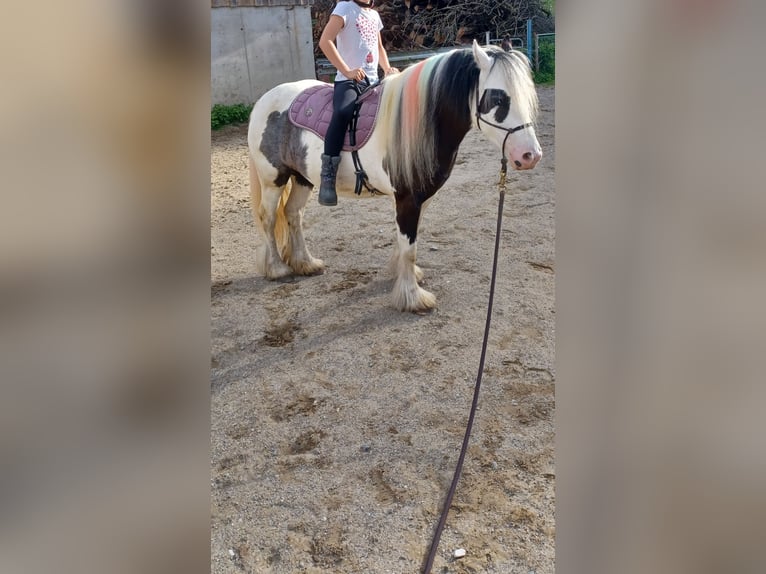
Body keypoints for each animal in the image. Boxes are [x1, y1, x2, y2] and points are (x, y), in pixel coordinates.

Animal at [249, 39, 544, 316]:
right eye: (498, 98)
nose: (531, 155)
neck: (420, 124)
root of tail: (265, 99)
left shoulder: (421, 198)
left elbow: (409, 242)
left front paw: (404, 275)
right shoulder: (407, 198)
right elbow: (409, 245)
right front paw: (412, 297)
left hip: (303, 178)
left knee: (293, 214)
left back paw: (305, 263)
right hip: (274, 179)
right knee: (269, 217)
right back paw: (276, 268)